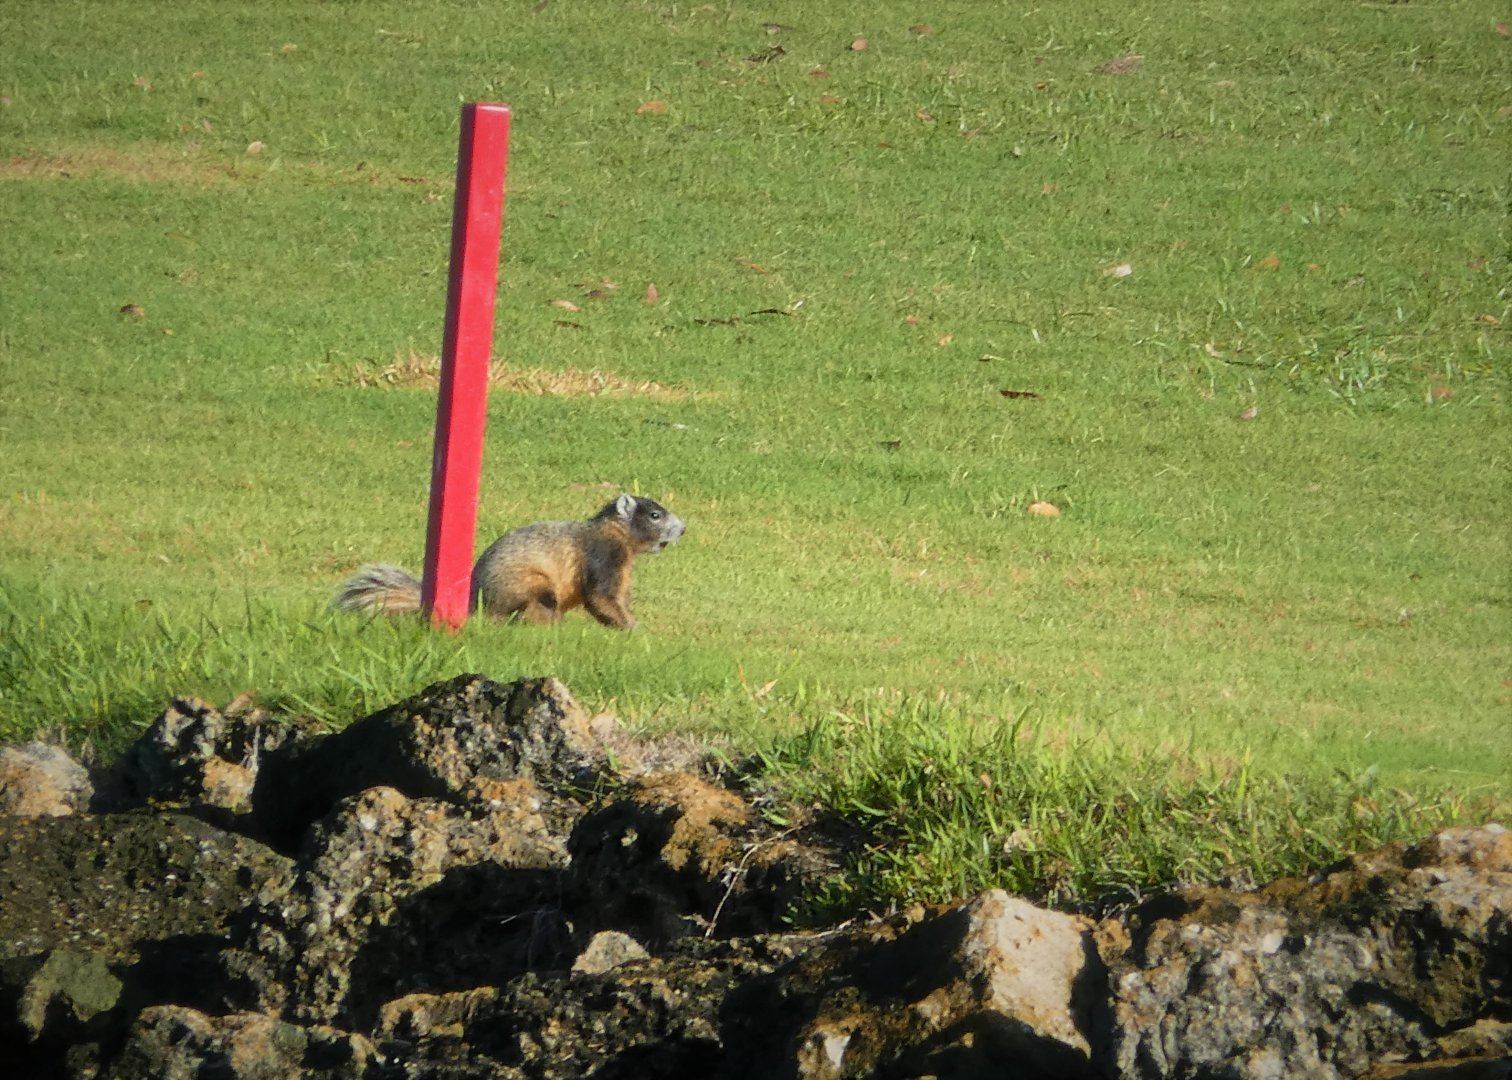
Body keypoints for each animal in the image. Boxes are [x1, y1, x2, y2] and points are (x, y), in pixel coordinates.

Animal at [333, 494, 685, 629]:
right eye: (655, 514)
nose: (683, 528)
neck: (615, 532)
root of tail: (471, 603)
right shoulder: (605, 554)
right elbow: (601, 594)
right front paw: (632, 627)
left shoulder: (622, 567)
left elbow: (618, 594)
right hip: (532, 583)